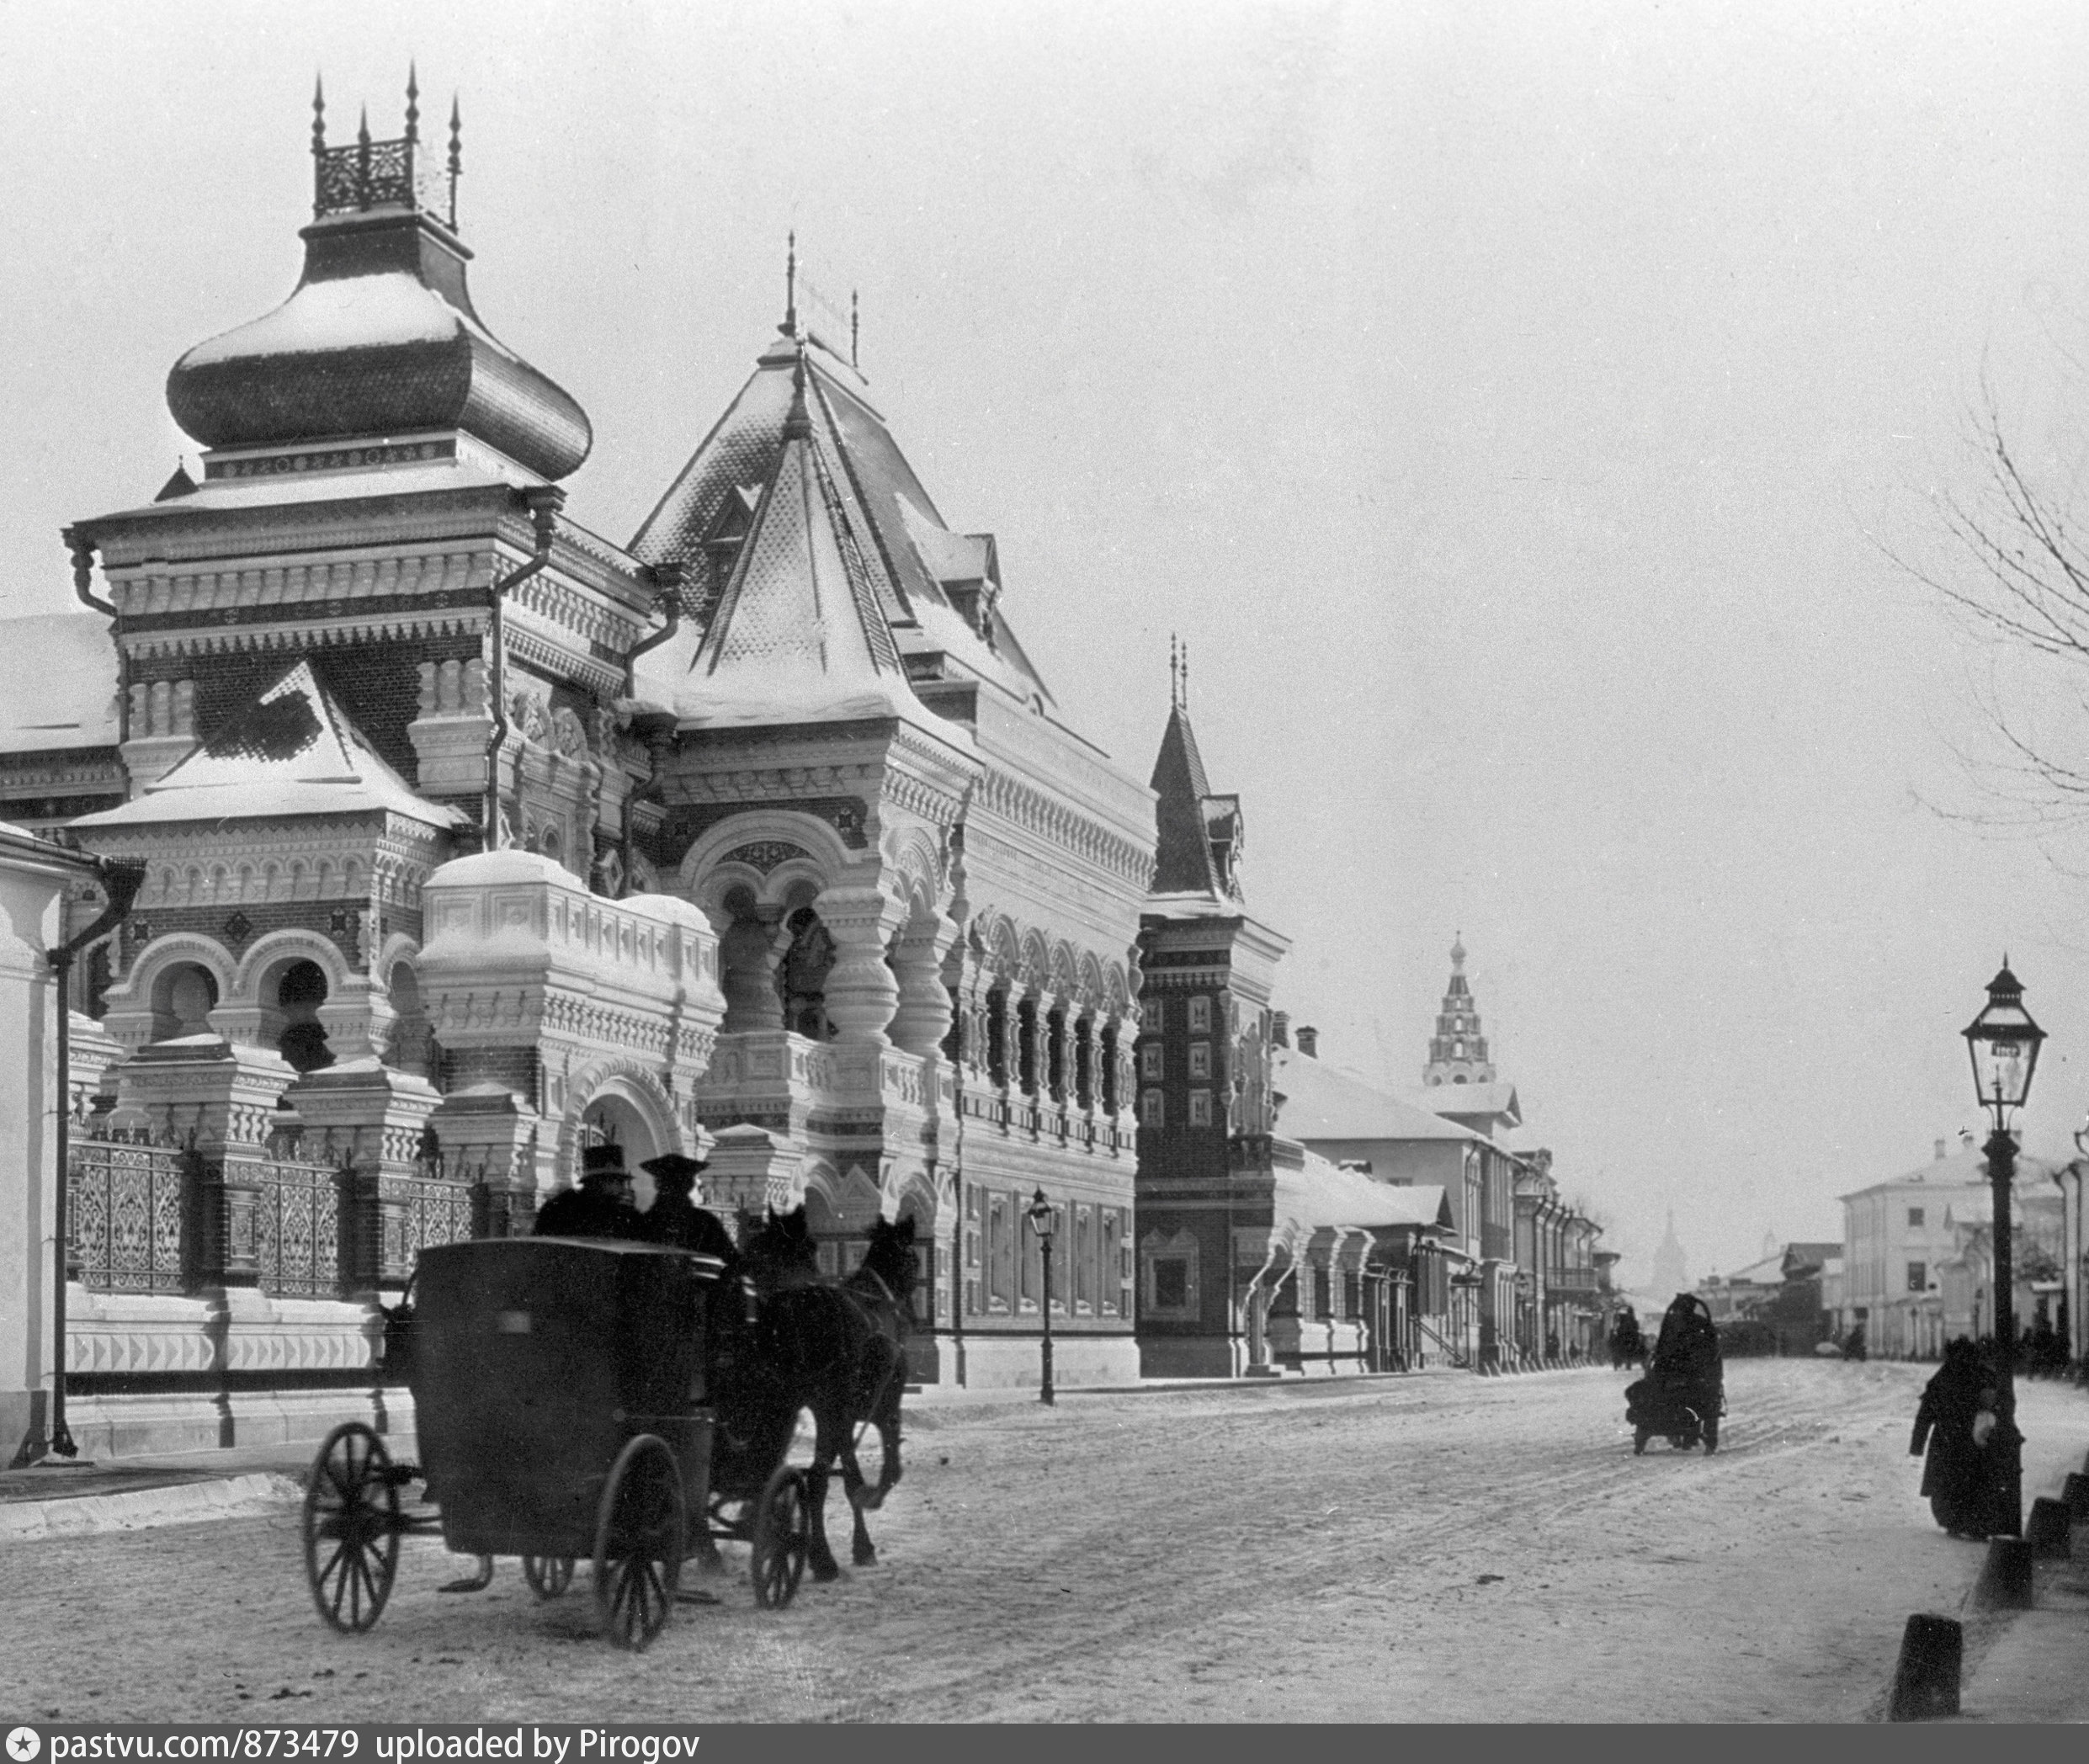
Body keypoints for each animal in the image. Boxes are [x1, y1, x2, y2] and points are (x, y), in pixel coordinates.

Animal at [735, 1203, 915, 1580]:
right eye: (912, 1255)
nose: (911, 1310)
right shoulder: (882, 1409)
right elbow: (887, 1471)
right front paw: (869, 1510)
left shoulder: (834, 1414)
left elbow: (843, 1475)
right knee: (816, 1477)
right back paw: (820, 1558)